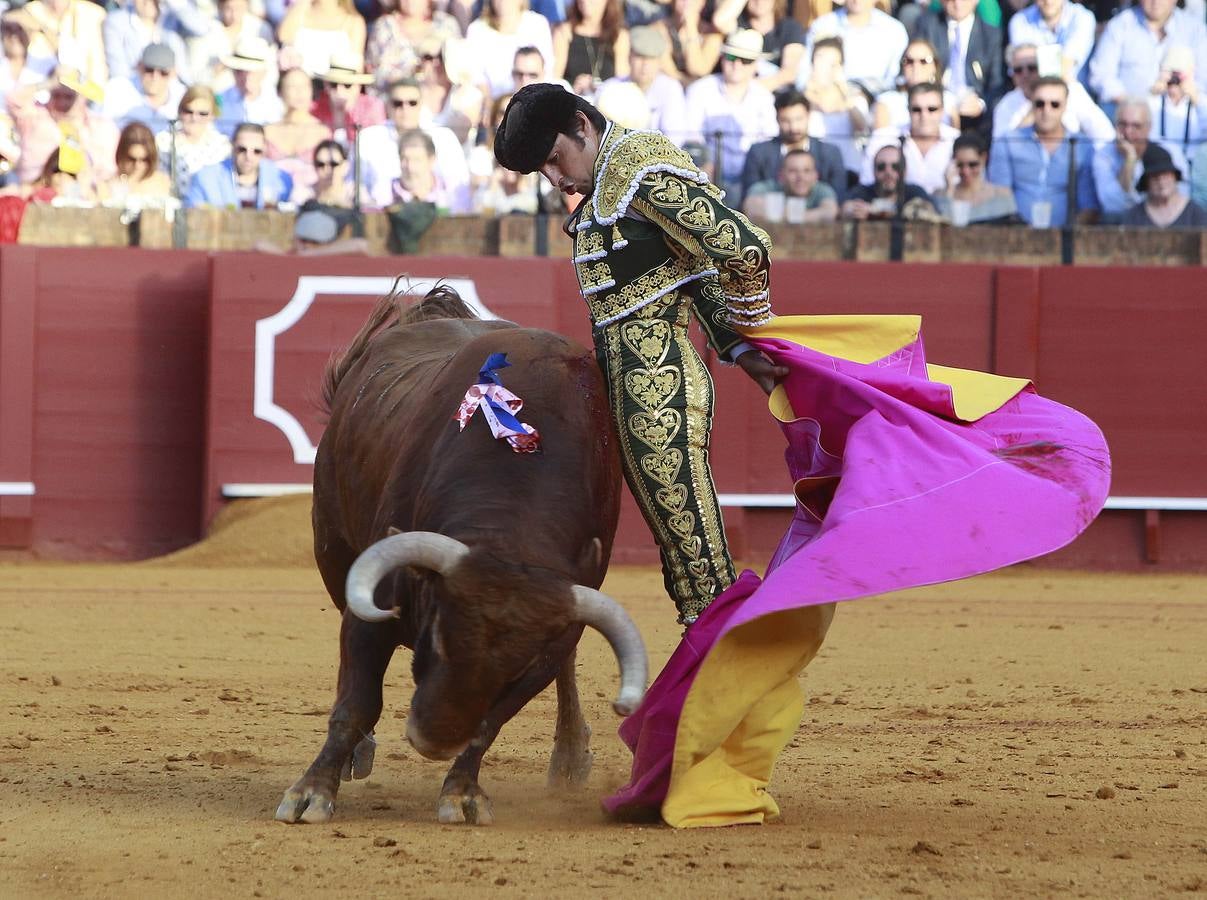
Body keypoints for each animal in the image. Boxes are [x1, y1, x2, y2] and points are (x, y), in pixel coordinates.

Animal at [276, 283, 651, 825]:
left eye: (515, 669)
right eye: (437, 636)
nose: (434, 741)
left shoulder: (553, 634)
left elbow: (493, 720)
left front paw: (462, 792)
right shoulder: (376, 600)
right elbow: (357, 701)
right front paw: (311, 791)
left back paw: (569, 758)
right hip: (332, 543)